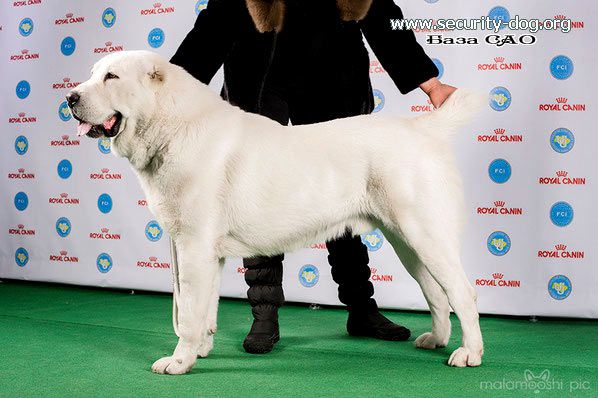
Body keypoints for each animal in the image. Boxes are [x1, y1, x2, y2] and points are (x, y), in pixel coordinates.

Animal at [68, 49, 486, 374]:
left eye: (111, 77)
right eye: (92, 74)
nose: (70, 98)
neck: (172, 126)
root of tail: (422, 128)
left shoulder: (193, 246)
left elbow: (187, 312)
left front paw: (180, 361)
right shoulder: (209, 254)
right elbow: (205, 310)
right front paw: (201, 350)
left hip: (424, 233)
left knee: (463, 292)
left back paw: (470, 353)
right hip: (407, 242)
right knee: (436, 292)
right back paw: (437, 340)